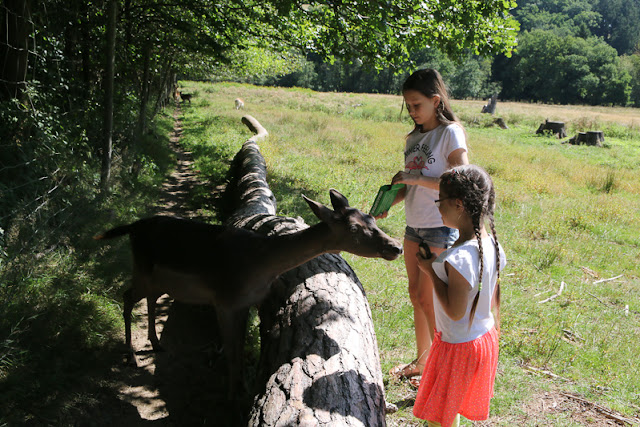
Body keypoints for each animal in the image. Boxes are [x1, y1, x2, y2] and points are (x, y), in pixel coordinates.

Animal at [92, 191, 402, 398]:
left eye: (372, 217)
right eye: (354, 228)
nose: (396, 247)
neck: (259, 264)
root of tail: (132, 227)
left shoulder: (246, 305)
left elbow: (239, 350)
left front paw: (239, 388)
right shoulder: (224, 301)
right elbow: (231, 353)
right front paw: (232, 395)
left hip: (159, 279)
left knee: (149, 299)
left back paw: (156, 344)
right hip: (142, 270)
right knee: (126, 296)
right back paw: (131, 356)